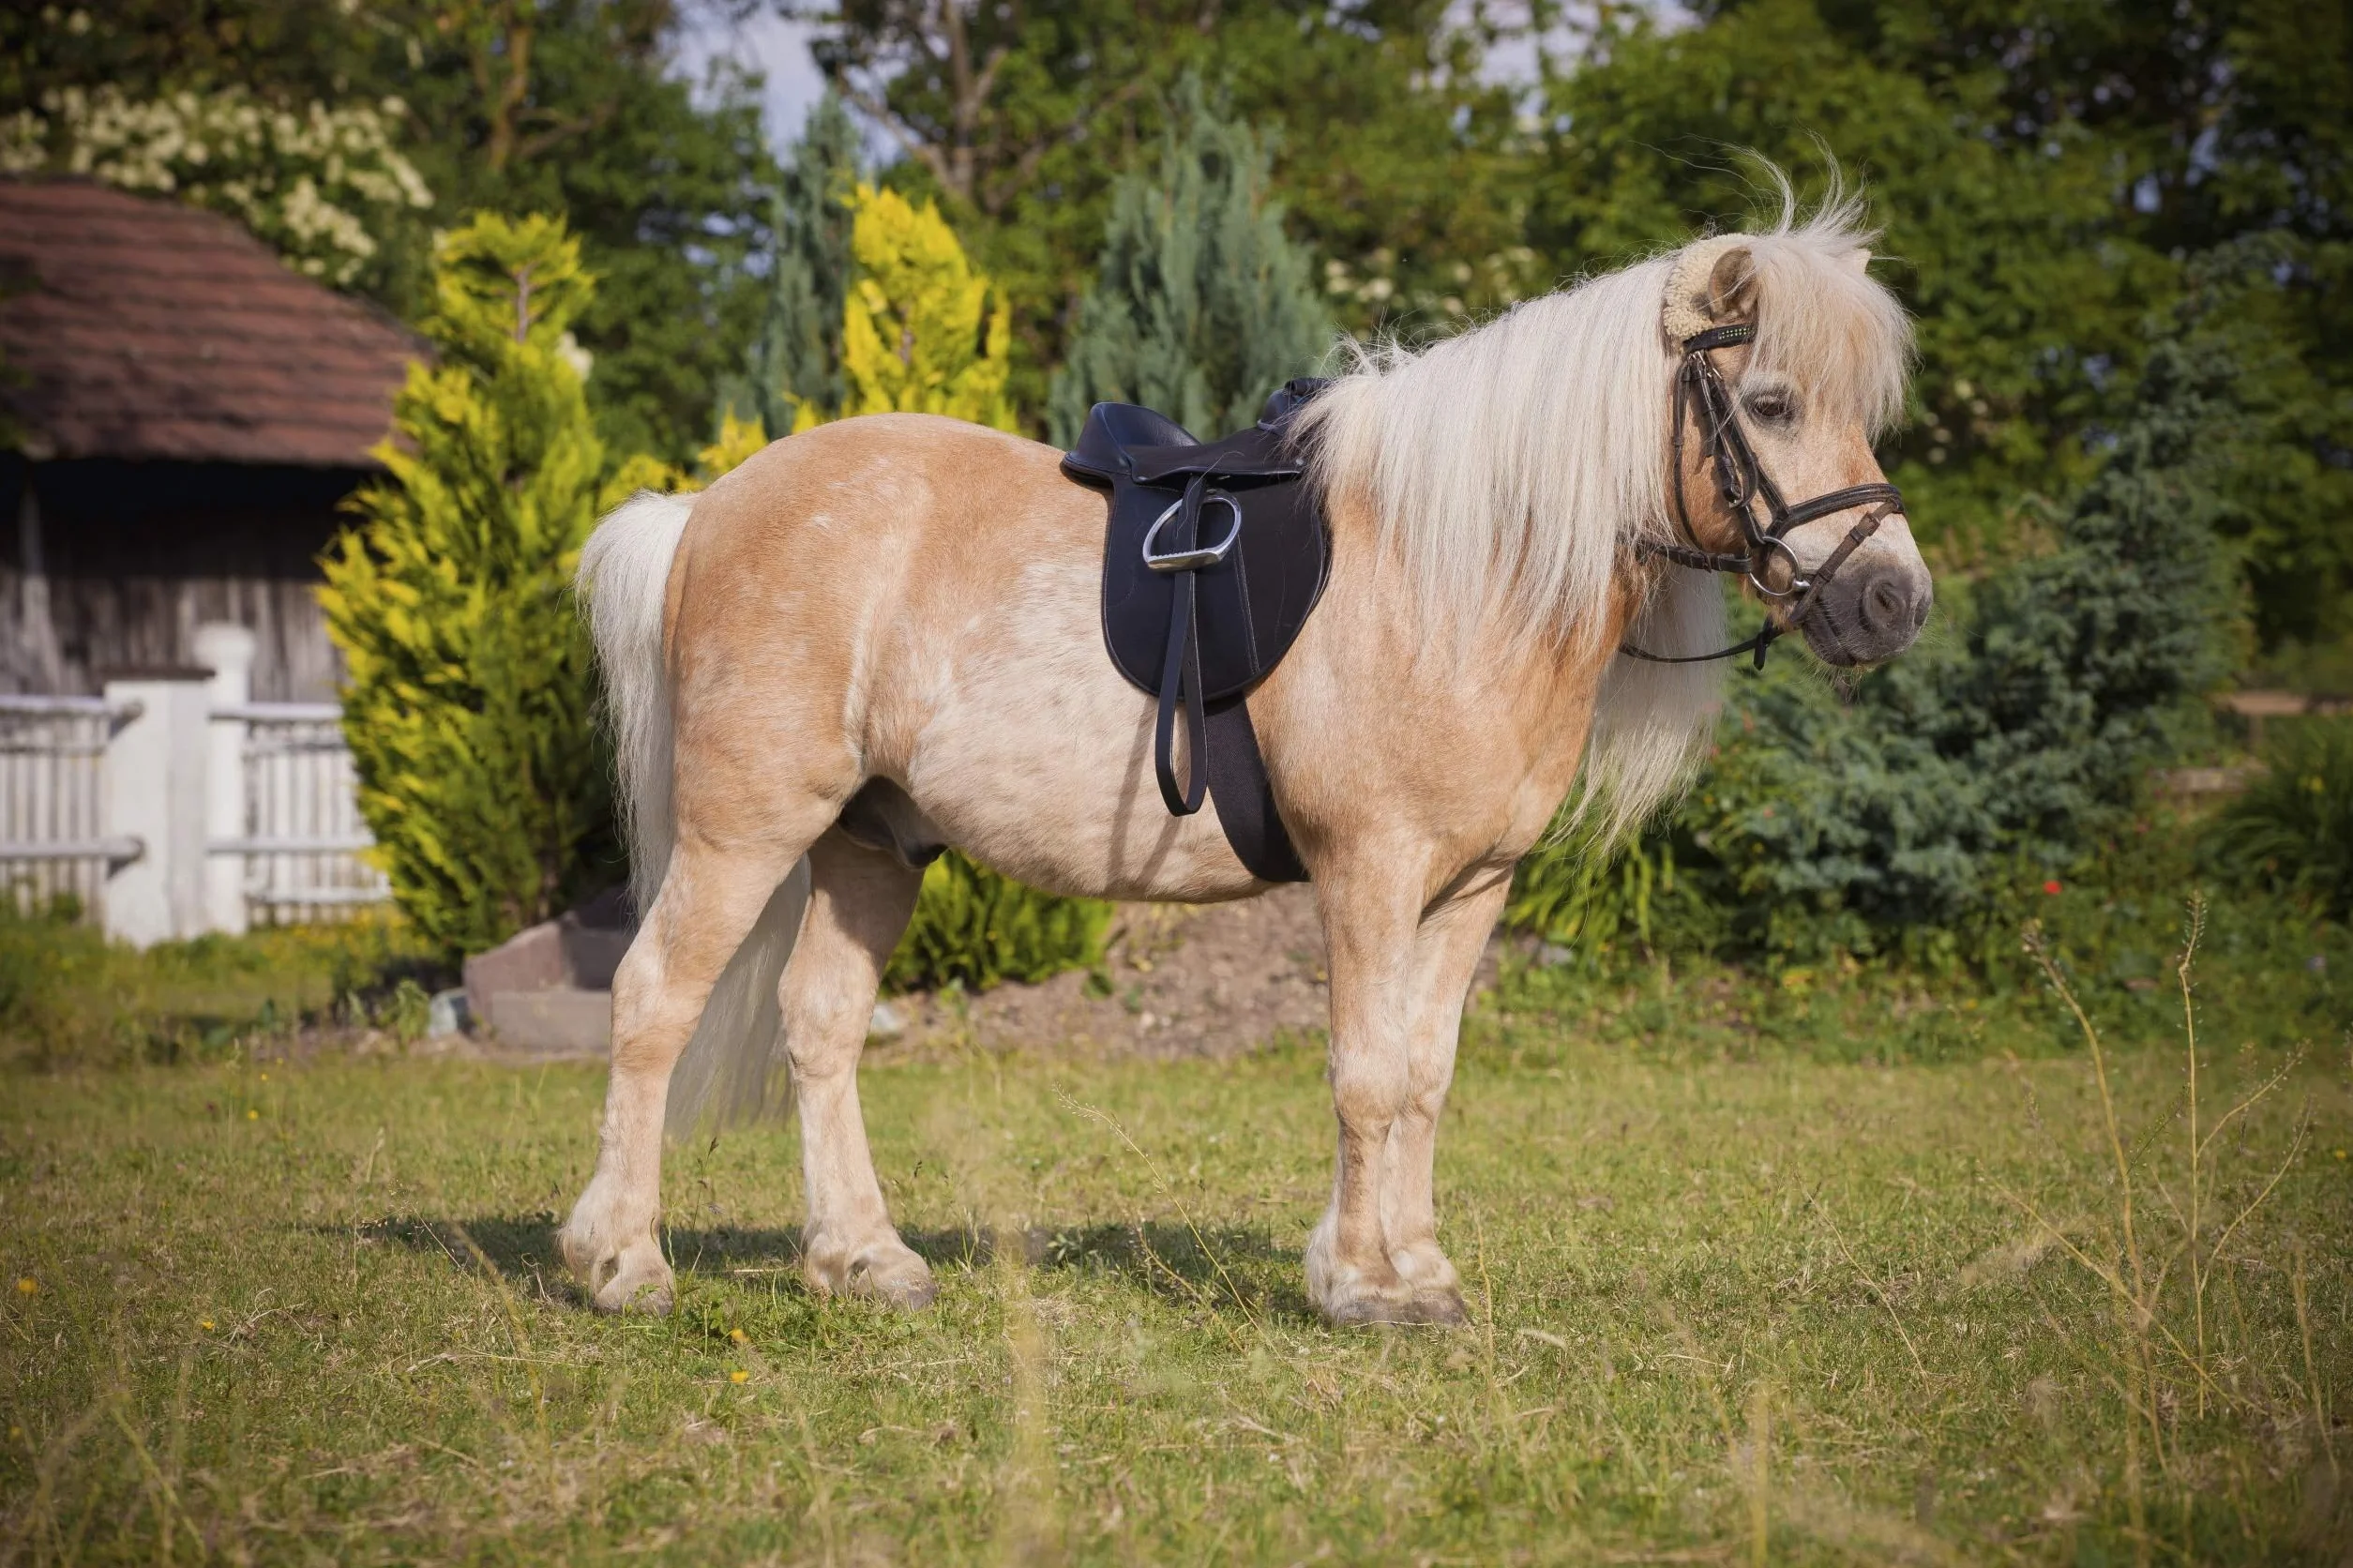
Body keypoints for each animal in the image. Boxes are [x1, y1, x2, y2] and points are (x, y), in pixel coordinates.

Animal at [556, 195, 1931, 1327]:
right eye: (1770, 404)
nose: (1891, 603)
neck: (1453, 571)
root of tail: (704, 511)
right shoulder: (1370, 871)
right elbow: (1366, 1075)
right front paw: (1365, 1287)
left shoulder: (1471, 887)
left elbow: (1425, 1075)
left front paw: (1417, 1269)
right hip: (747, 829)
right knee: (651, 1000)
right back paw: (624, 1263)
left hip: (872, 841)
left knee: (821, 1025)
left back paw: (862, 1260)